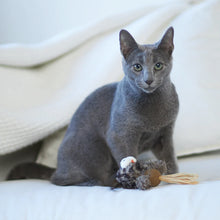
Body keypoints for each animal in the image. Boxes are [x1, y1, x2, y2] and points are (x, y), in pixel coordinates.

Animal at [7, 26, 179, 186]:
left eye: (158, 65)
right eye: (137, 67)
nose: (148, 80)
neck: (153, 110)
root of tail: (58, 167)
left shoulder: (165, 132)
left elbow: (169, 155)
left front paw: (174, 176)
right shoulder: (118, 135)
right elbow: (128, 156)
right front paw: (136, 179)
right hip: (94, 147)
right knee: (61, 180)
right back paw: (100, 182)